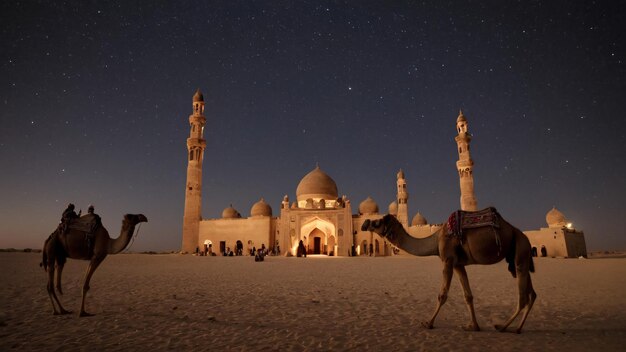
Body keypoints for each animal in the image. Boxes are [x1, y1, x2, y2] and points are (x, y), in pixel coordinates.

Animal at [360, 208, 536, 334]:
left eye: (378, 222)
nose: (365, 223)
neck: (436, 238)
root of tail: (522, 235)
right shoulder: (458, 264)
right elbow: (468, 296)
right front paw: (474, 326)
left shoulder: (448, 260)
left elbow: (442, 295)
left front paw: (428, 323)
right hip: (520, 254)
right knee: (532, 294)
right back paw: (517, 328)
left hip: (521, 250)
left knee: (523, 297)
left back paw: (503, 327)